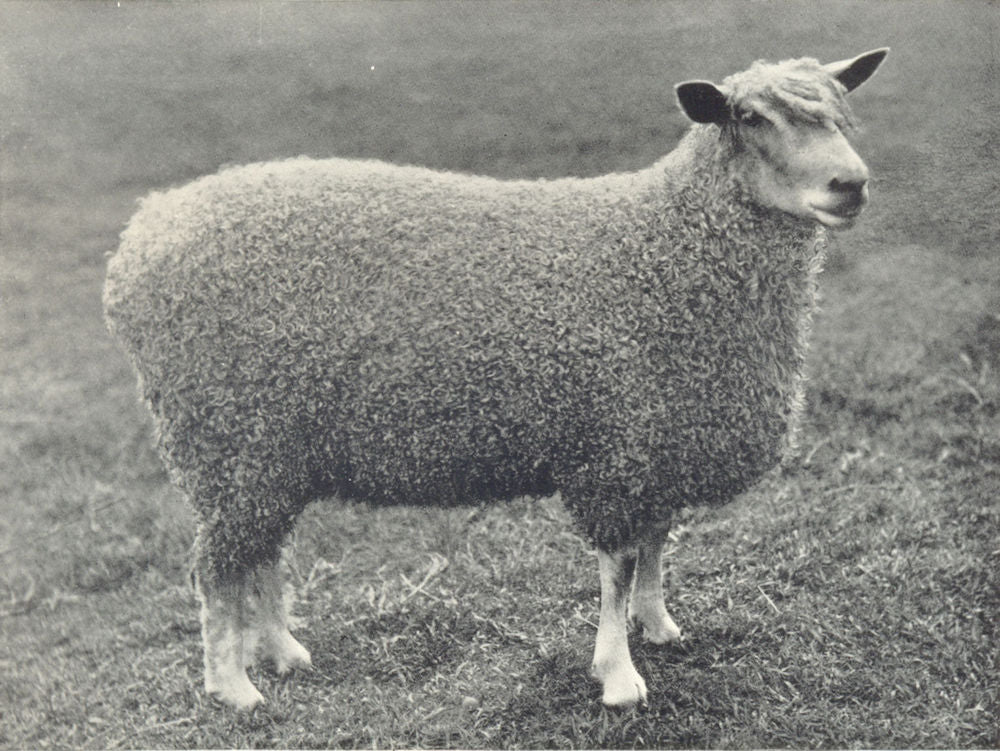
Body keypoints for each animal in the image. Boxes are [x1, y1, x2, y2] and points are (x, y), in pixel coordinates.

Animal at [103, 48, 888, 710]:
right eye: (749, 118)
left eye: (841, 109)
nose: (850, 185)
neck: (668, 247)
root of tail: (139, 235)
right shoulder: (611, 449)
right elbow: (617, 566)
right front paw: (618, 675)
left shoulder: (656, 439)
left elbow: (656, 544)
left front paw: (659, 624)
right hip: (227, 437)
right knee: (217, 567)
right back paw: (233, 686)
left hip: (266, 448)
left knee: (260, 551)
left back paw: (281, 651)